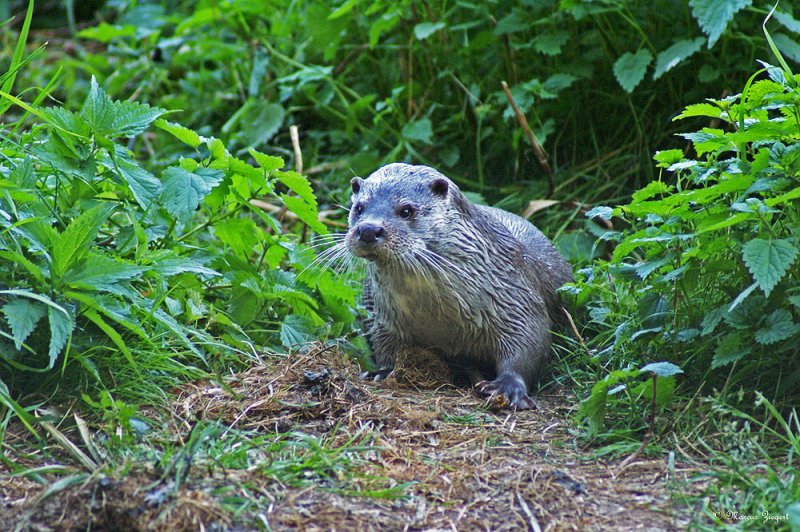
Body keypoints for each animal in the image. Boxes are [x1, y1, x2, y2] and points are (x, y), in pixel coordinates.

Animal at [346, 164, 572, 410]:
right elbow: (384, 343)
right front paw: (383, 371)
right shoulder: (385, 316)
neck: (438, 317)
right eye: (359, 208)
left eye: (406, 210)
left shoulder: (515, 294)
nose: (368, 230)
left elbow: (530, 338)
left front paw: (507, 387)